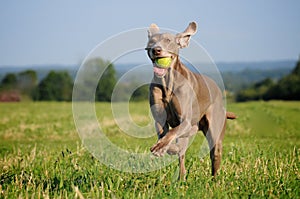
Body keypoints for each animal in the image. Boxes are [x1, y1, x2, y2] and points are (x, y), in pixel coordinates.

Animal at [146, 21, 237, 180]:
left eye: (168, 41)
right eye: (152, 41)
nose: (156, 50)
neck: (168, 82)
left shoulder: (186, 121)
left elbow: (171, 133)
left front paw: (161, 147)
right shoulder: (159, 120)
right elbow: (166, 135)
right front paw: (165, 147)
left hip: (215, 132)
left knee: (215, 155)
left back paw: (214, 181)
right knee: (182, 156)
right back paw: (181, 177)